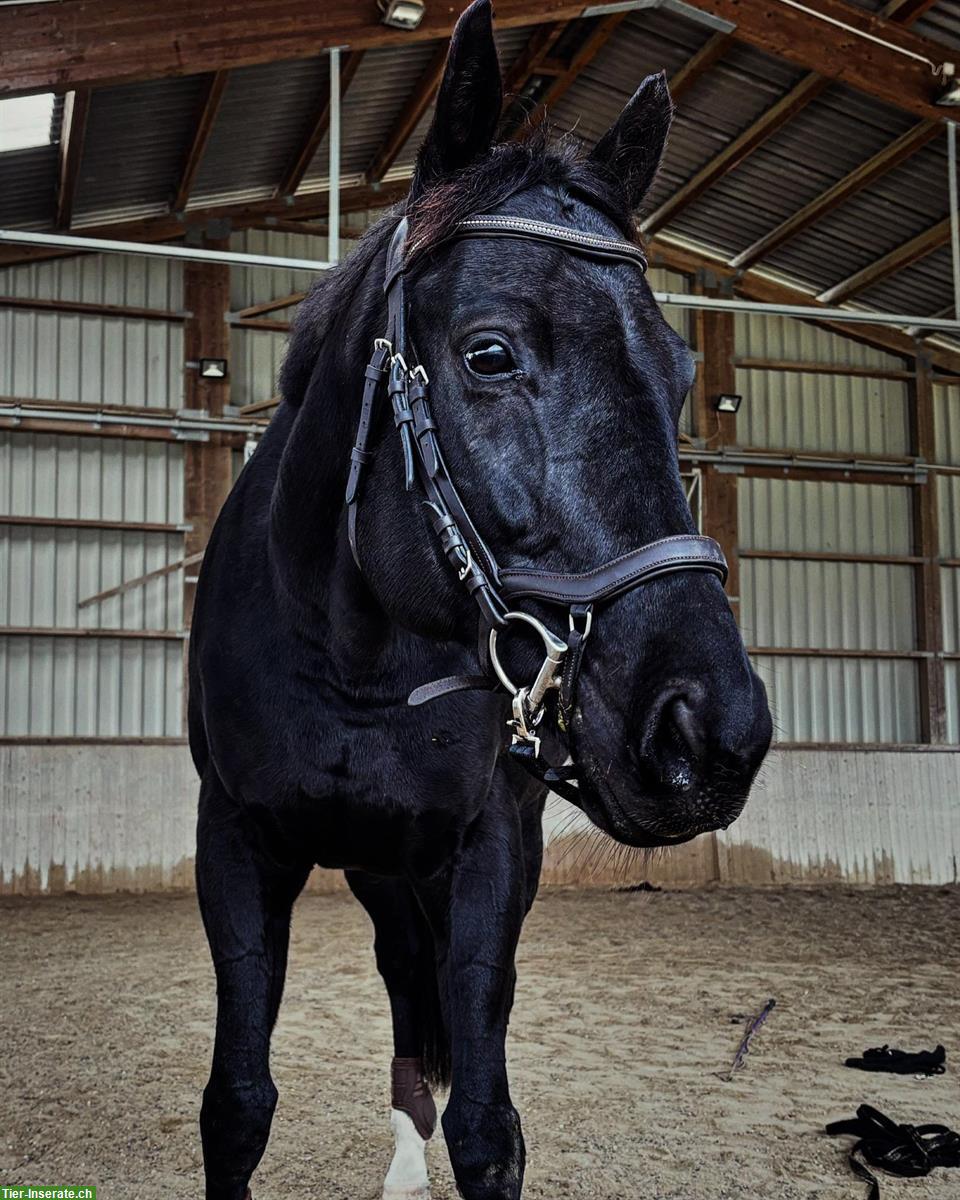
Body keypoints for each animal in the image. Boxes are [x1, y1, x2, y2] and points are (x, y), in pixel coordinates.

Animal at [187, 4, 772, 1195]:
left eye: (683, 373)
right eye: (490, 354)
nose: (713, 730)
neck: (353, 652)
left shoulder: (488, 851)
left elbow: (488, 1126)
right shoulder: (235, 842)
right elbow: (238, 1105)